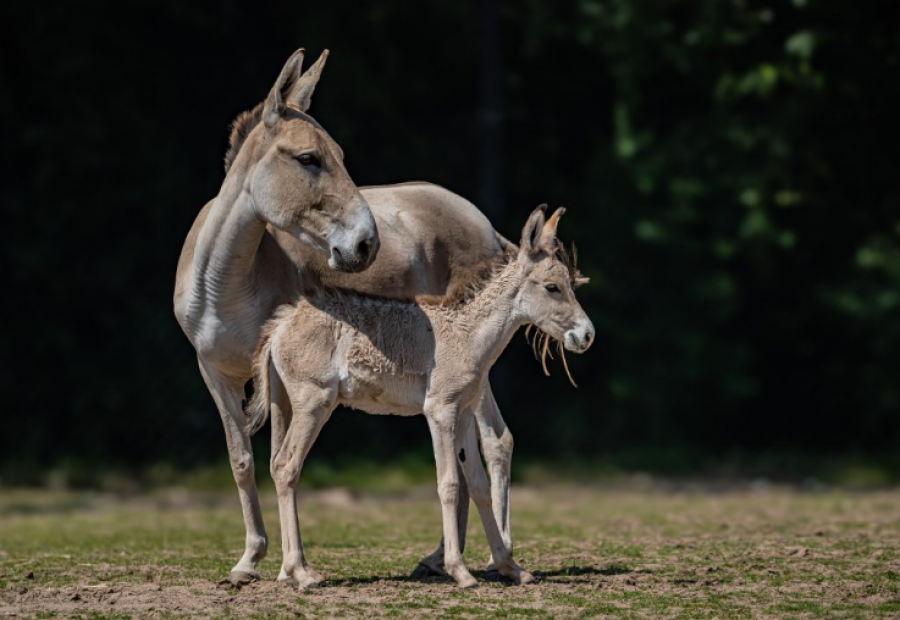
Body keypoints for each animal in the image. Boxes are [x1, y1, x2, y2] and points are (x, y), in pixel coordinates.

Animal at [250, 206, 596, 588]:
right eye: (552, 287)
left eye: (570, 284)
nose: (587, 335)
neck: (467, 334)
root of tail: (280, 326)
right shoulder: (440, 412)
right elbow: (449, 484)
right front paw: (460, 571)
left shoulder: (464, 414)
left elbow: (478, 485)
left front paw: (510, 567)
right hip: (314, 404)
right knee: (286, 467)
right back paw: (302, 572)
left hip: (286, 406)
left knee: (277, 465)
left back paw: (287, 572)